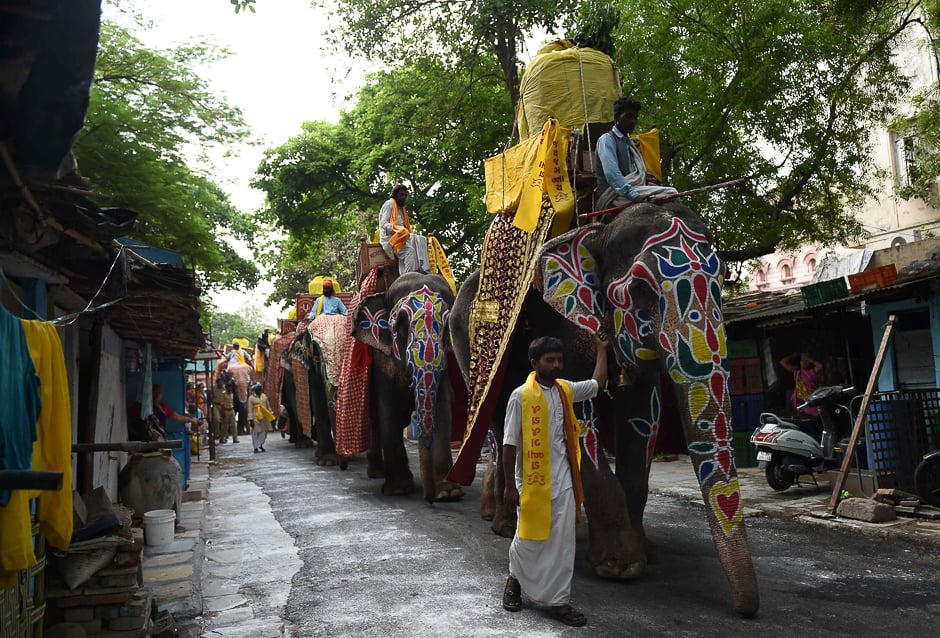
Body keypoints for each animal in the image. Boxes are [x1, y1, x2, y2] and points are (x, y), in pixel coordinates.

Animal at [352, 272, 462, 502]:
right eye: (398, 324)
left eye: (447, 328)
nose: (430, 500)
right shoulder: (382, 361)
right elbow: (388, 410)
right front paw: (398, 489)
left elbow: (442, 408)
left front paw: (448, 493)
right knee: (376, 420)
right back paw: (377, 473)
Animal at [452, 201, 760, 620]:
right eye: (641, 289)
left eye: (723, 277)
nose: (745, 611)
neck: (598, 228)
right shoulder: (562, 325)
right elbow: (580, 419)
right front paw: (619, 568)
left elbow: (644, 414)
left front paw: (646, 553)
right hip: (470, 349)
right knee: (501, 425)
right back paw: (504, 525)